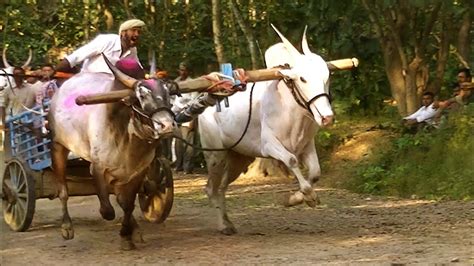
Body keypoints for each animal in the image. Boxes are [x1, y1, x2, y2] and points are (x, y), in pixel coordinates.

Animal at [198, 26, 332, 235]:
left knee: (222, 188)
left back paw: (228, 222)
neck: (288, 109)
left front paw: (298, 198)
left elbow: (316, 172)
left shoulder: (307, 145)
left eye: (327, 76)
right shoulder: (270, 146)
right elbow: (291, 161)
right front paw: (305, 197)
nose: (327, 117)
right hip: (215, 156)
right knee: (211, 188)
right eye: (302, 78)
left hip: (239, 158)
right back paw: (222, 225)